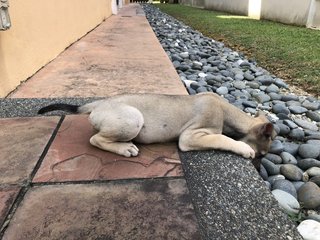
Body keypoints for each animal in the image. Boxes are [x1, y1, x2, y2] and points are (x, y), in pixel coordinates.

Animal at [38, 93, 276, 158]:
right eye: (262, 154)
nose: (261, 157)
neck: (226, 111)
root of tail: (99, 103)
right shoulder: (192, 136)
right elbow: (223, 138)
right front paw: (244, 149)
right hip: (133, 119)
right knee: (94, 139)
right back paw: (124, 148)